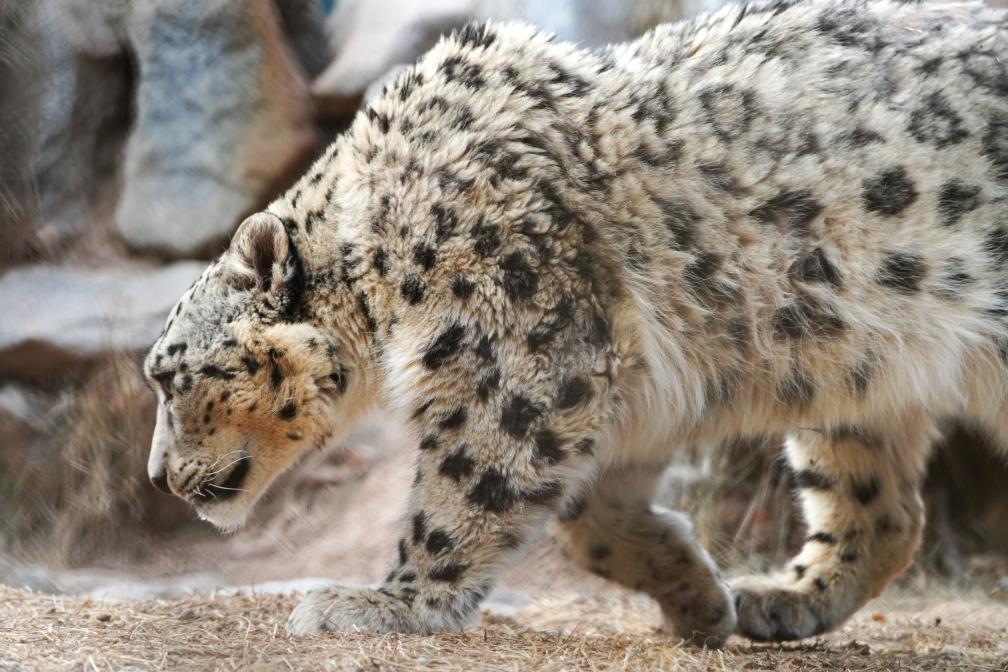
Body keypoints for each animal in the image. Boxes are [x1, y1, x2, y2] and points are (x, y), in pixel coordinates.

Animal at [143, 0, 1008, 647]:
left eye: (167, 377)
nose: (153, 476)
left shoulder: (515, 351)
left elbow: (470, 481)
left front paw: (387, 603)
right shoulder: (625, 390)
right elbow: (586, 519)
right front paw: (694, 594)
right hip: (853, 371)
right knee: (882, 505)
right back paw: (780, 598)